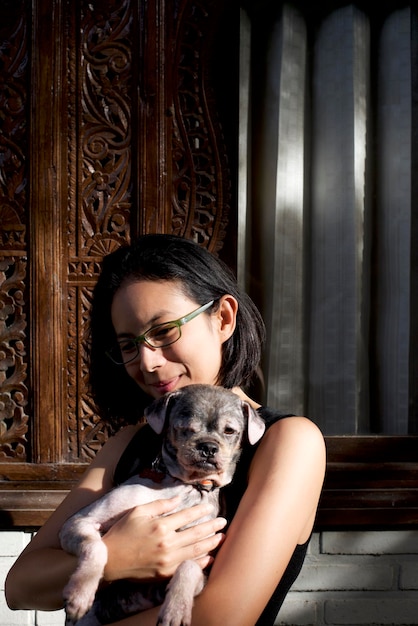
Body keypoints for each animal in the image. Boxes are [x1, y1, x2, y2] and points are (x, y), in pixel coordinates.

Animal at [58, 382, 264, 620]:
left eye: (230, 431)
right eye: (185, 428)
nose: (209, 447)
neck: (186, 486)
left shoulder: (202, 560)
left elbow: (188, 566)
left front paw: (176, 609)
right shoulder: (78, 521)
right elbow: (96, 546)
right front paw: (80, 592)